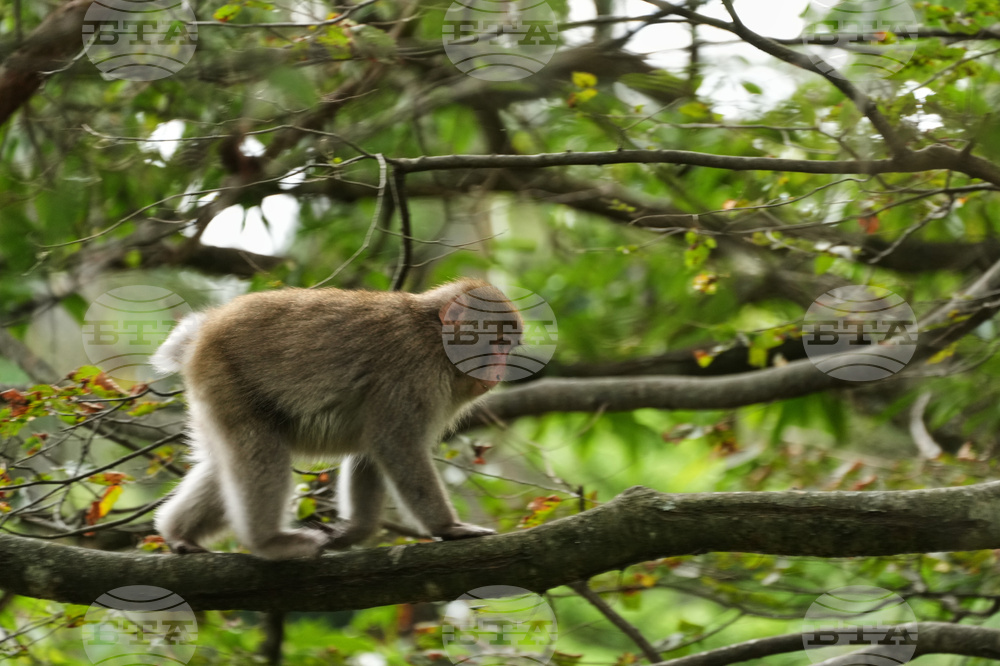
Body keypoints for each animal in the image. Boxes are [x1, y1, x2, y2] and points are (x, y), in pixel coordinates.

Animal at [151, 279, 522, 560]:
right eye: (496, 341)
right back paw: (267, 542)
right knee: (260, 447)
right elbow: (395, 443)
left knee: (224, 461)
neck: (434, 336)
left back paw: (179, 534)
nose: (500, 369)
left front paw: (355, 531)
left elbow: (371, 450)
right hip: (224, 374)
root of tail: (206, 326)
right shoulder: (414, 369)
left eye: (508, 346)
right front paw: (446, 528)